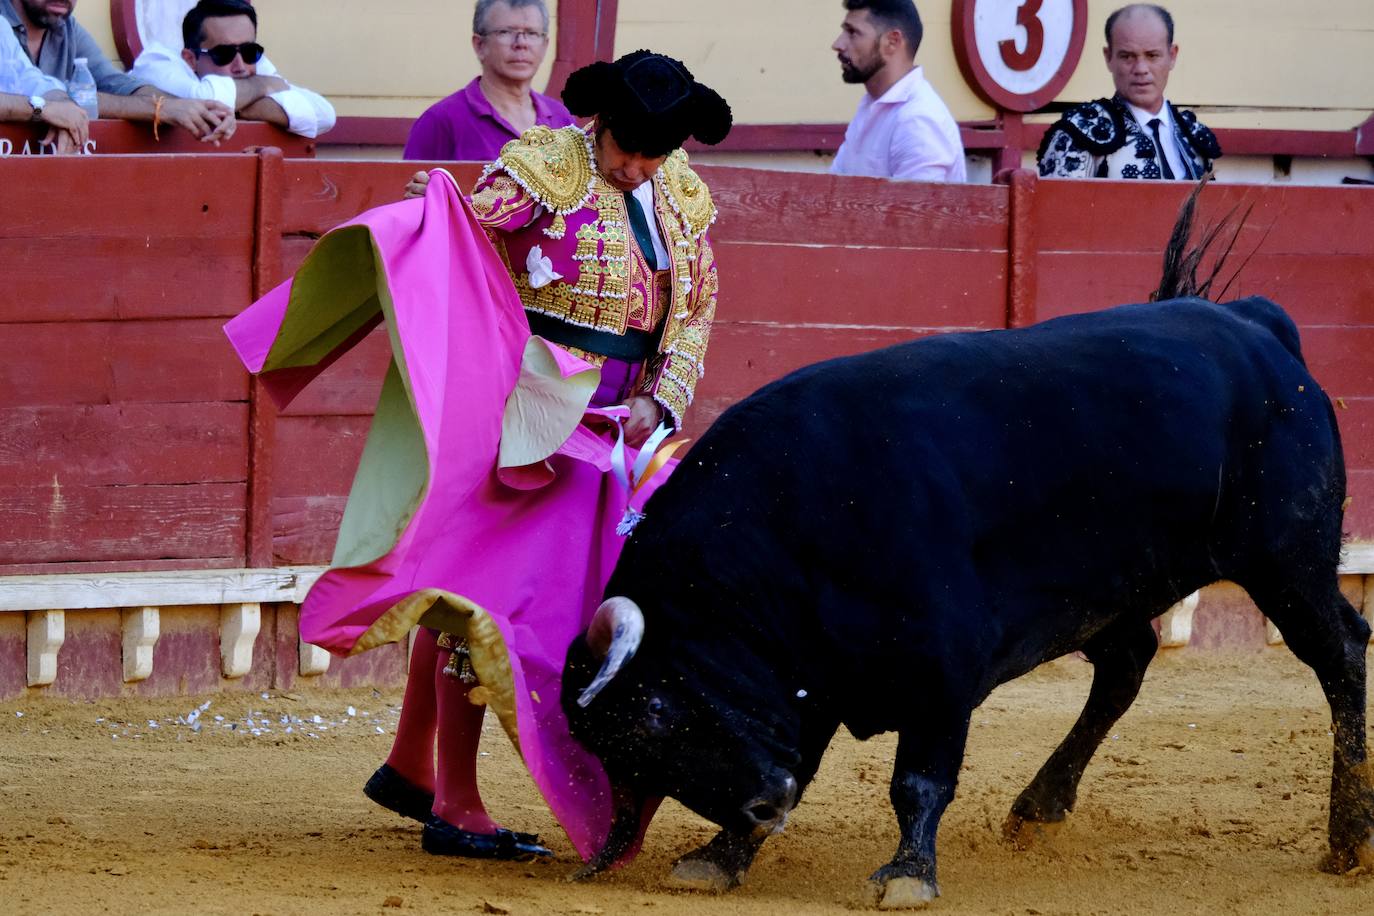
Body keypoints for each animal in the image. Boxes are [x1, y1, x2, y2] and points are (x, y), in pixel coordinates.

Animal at [557, 298, 1374, 906]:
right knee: (1126, 663)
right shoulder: (809, 678)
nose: (766, 806)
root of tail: (1255, 326)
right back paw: (1038, 809)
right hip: (1114, 592)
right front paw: (721, 854)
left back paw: (1349, 837)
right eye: (620, 753)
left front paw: (906, 876)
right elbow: (805, 759)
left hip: (1288, 561)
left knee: (1341, 653)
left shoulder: (940, 671)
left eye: (655, 710)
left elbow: (919, 778)